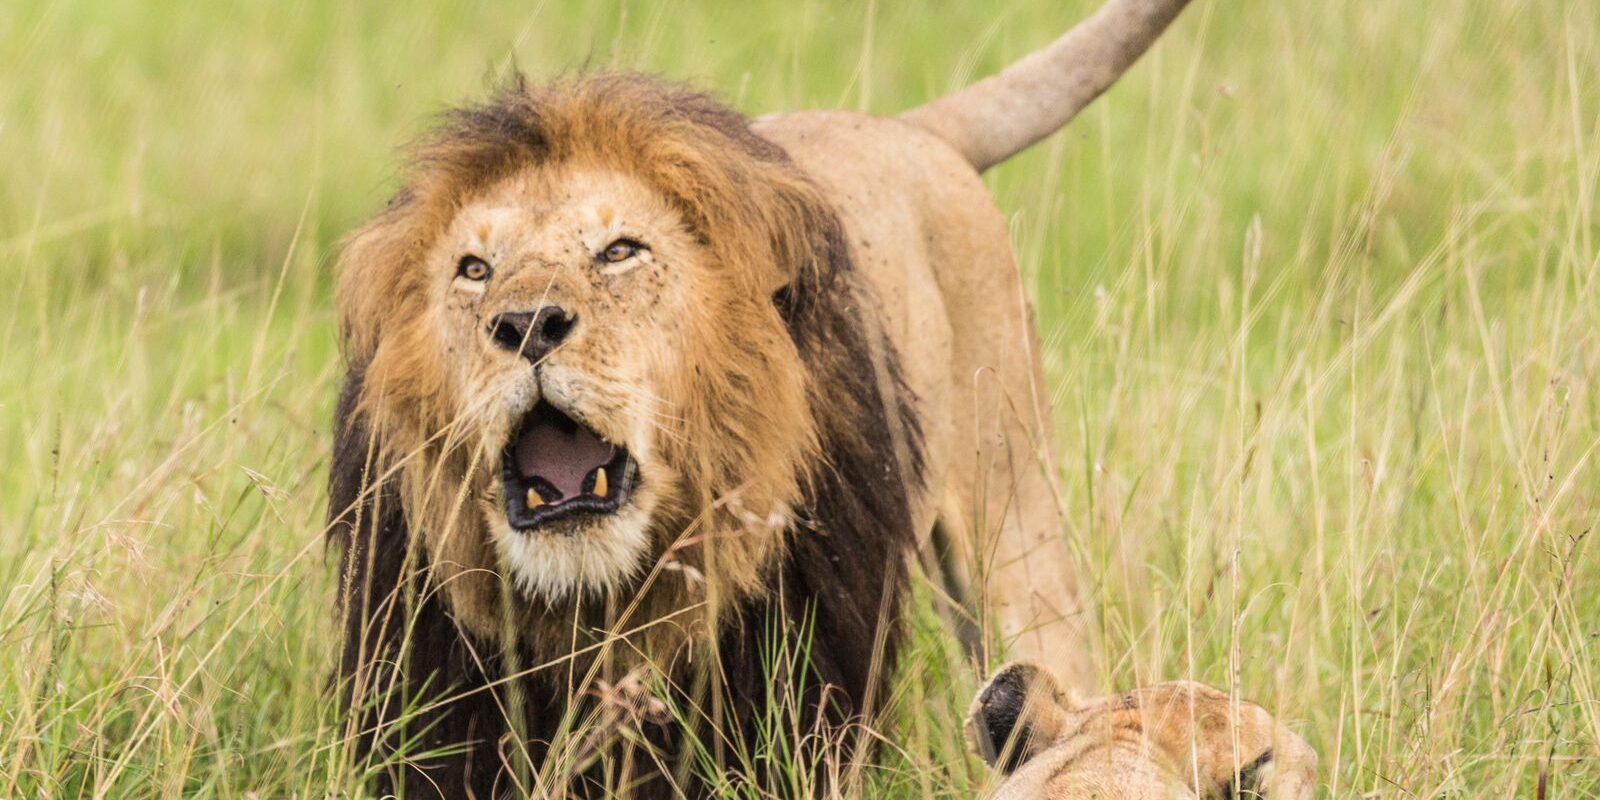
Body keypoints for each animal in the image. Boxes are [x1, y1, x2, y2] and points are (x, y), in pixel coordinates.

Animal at [327, 0, 1196, 796]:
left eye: (620, 251)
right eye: (473, 270)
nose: (526, 324)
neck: (599, 601)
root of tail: (903, 128)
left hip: (1019, 535)